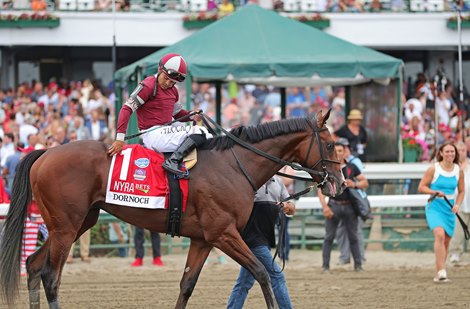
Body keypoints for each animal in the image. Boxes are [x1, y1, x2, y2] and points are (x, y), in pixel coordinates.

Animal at [0, 109, 346, 306]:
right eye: (331, 145)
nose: (340, 183)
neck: (235, 165)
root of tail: (45, 153)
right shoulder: (223, 233)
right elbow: (261, 273)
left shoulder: (203, 239)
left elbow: (187, 284)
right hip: (66, 227)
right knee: (50, 276)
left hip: (77, 223)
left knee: (33, 265)